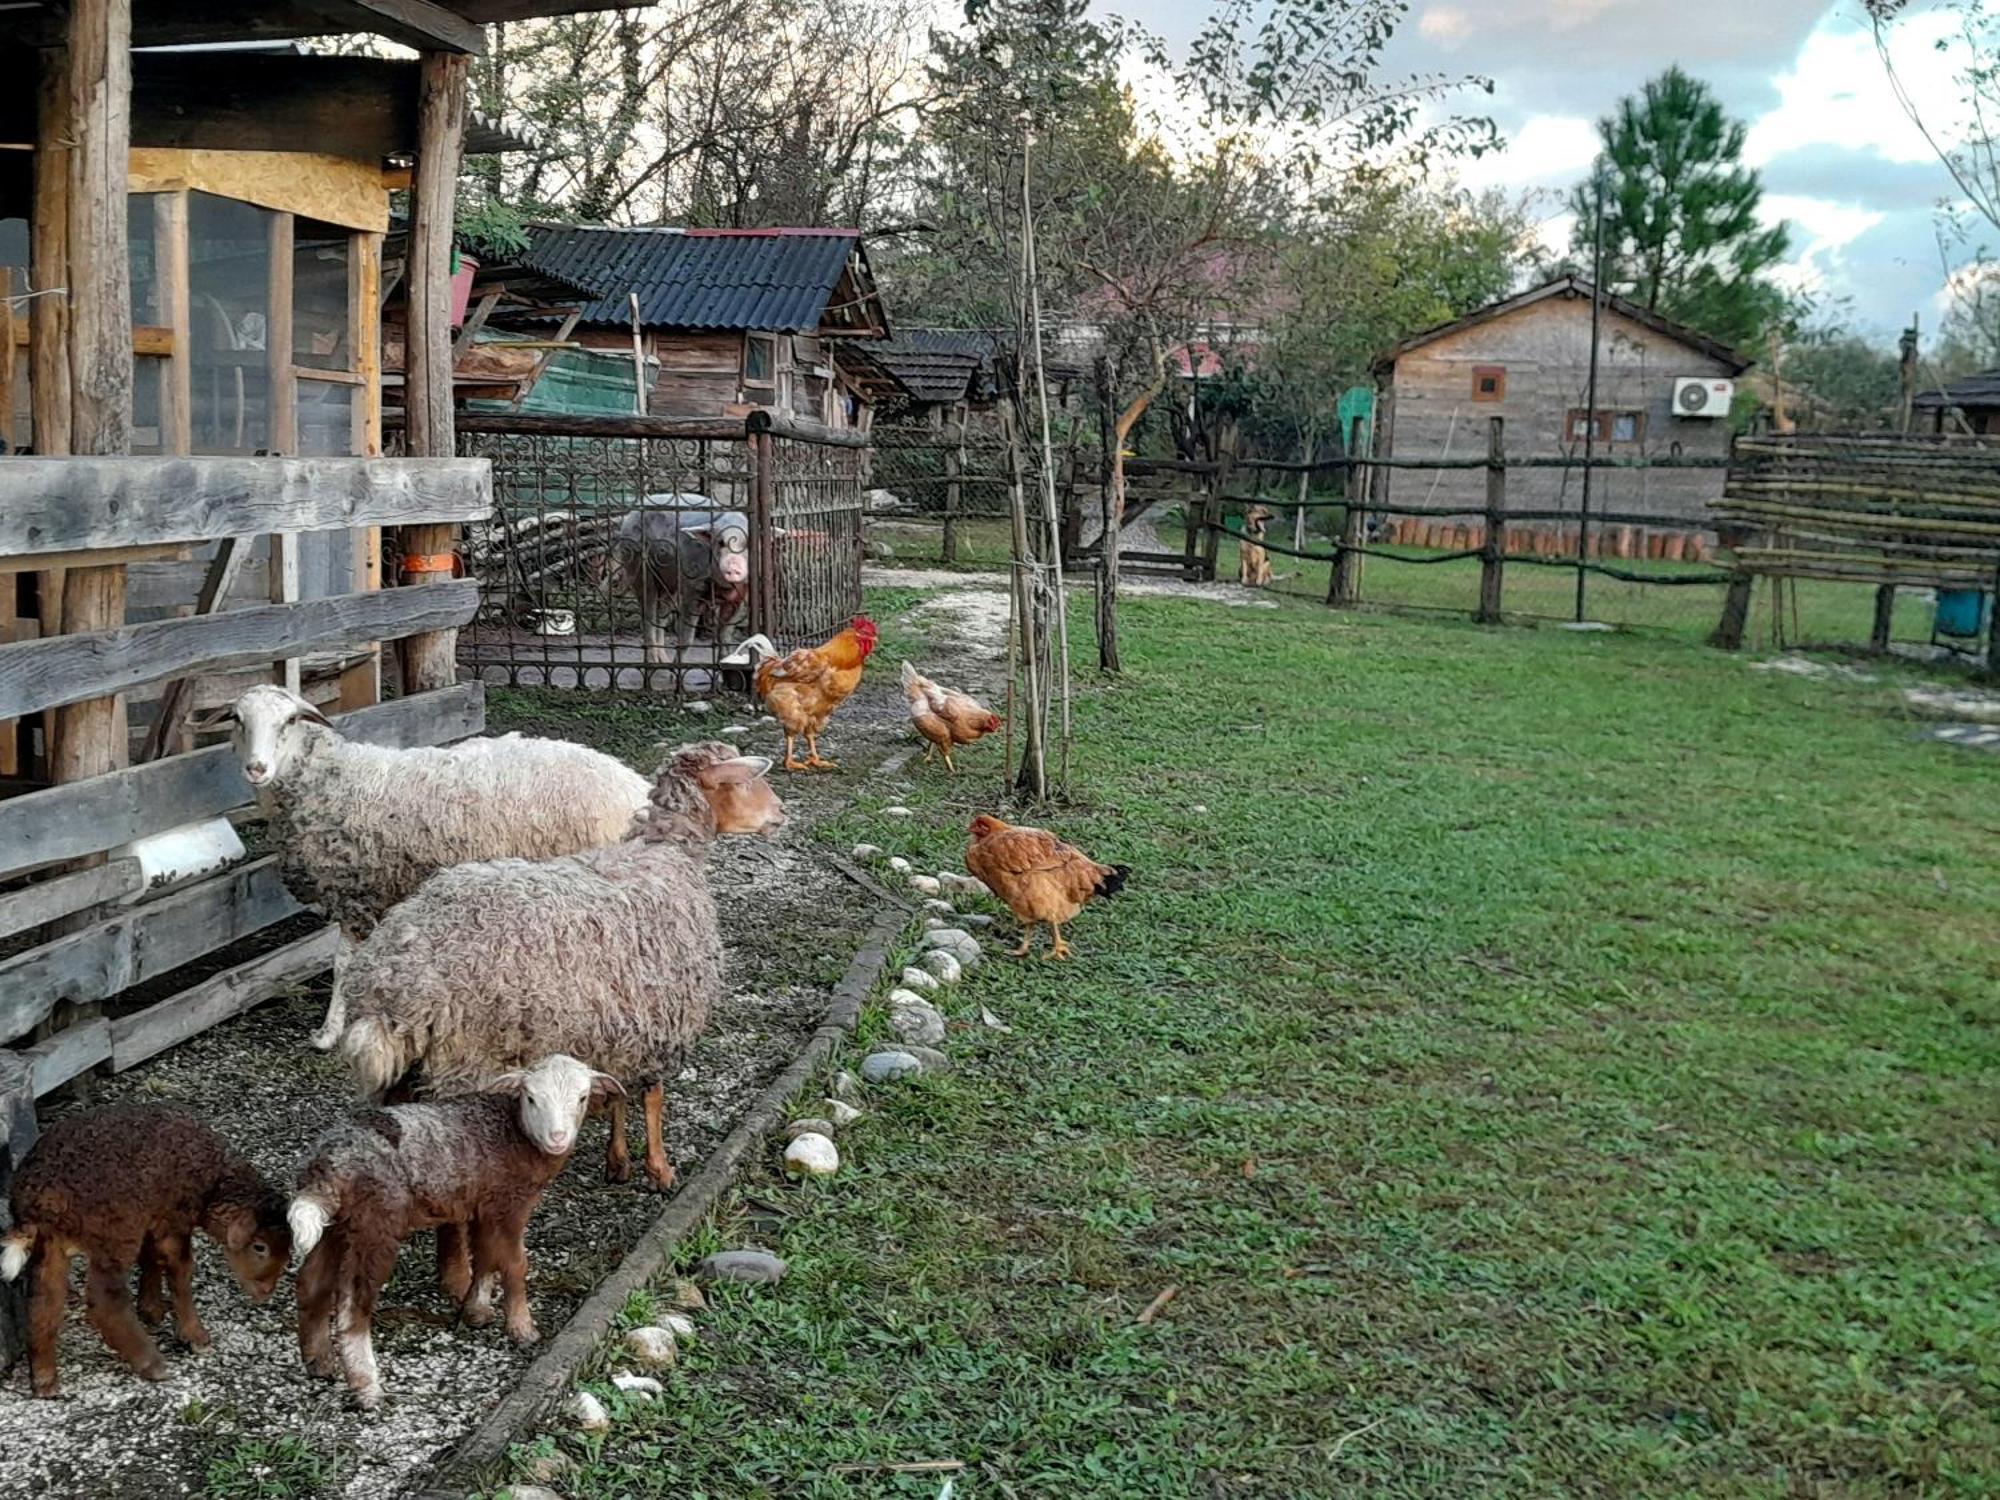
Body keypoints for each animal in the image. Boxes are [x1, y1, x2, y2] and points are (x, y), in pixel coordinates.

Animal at [0, 1096, 292, 1408]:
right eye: (260, 1247)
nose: (265, 1291)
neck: (214, 1183)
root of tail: (39, 1199)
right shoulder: (174, 1218)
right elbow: (180, 1270)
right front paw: (194, 1336)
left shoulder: (154, 1216)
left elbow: (151, 1258)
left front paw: (151, 1309)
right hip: (115, 1232)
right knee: (105, 1301)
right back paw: (151, 1364)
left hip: (51, 1243)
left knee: (43, 1302)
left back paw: (44, 1380)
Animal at [228, 688, 652, 1048]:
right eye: (238, 720)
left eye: (289, 721)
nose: (256, 768)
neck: (330, 780)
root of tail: (634, 787)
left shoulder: (354, 891)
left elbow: (342, 964)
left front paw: (330, 1032)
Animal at [340, 748, 784, 1192]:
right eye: (743, 782)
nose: (780, 812)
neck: (664, 854)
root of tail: (392, 979)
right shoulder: (662, 1017)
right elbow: (652, 1094)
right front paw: (659, 1169)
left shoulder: (622, 1022)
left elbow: (617, 1091)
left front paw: (617, 1161)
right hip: (466, 1059)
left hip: (407, 1073)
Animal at [604, 500, 752, 664]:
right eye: (720, 542)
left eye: (747, 543)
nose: (733, 567)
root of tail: (628, 517)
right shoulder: (693, 585)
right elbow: (687, 638)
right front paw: (678, 665)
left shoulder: (741, 596)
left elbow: (725, 635)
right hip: (637, 563)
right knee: (648, 615)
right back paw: (653, 661)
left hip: (669, 584)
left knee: (661, 616)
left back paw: (664, 660)